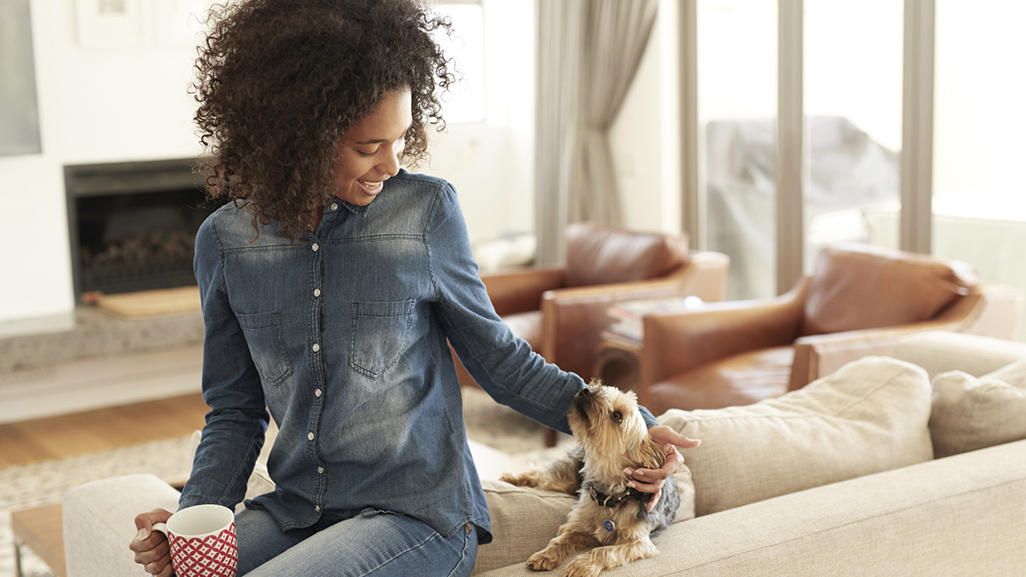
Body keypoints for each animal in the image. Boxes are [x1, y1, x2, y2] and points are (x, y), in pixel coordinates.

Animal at [500, 379, 677, 570]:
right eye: (602, 388)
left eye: (617, 415)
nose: (586, 390)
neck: (609, 494)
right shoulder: (578, 524)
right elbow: (560, 539)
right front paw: (545, 555)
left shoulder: (638, 543)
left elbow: (605, 551)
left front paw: (581, 565)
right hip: (567, 477)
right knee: (541, 475)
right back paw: (511, 478)